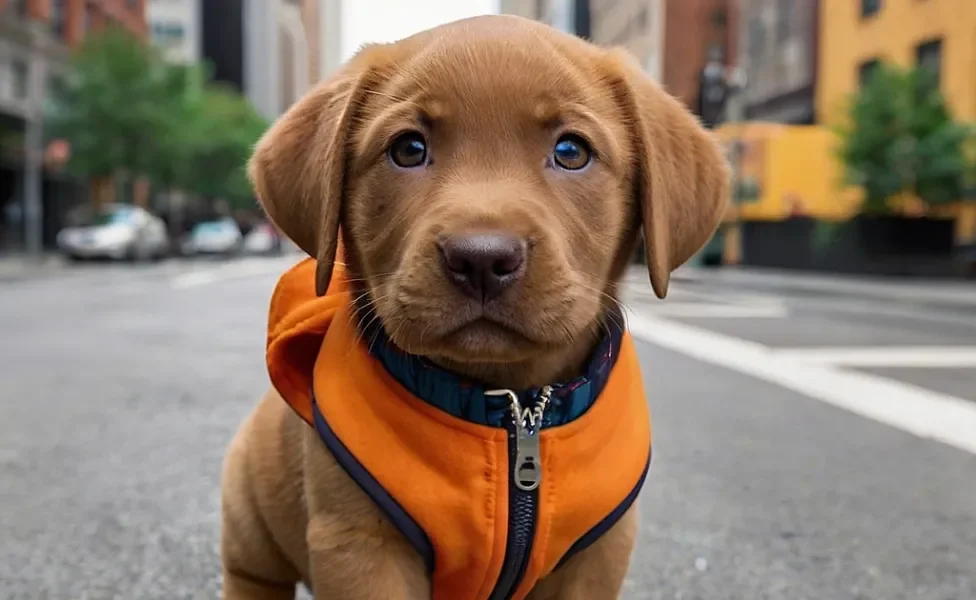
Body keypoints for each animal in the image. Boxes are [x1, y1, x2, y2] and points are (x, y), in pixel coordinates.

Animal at [219, 14, 724, 600]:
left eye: (571, 152)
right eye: (408, 149)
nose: (482, 259)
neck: (511, 413)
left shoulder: (599, 551)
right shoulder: (361, 545)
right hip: (250, 521)